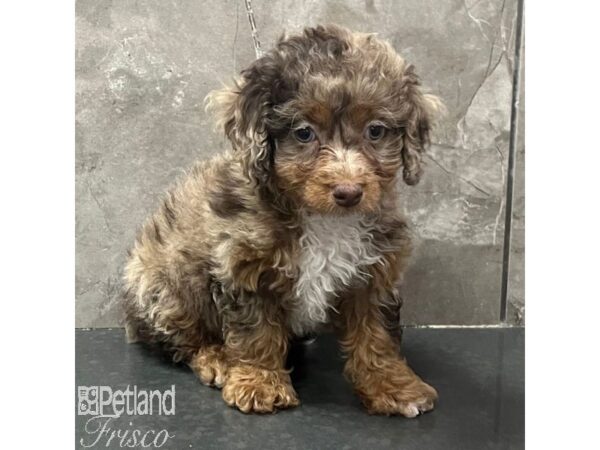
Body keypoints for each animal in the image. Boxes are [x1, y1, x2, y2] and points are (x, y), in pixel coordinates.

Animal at [122, 24, 440, 416]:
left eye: (376, 131)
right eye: (304, 133)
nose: (349, 192)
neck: (323, 218)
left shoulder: (374, 273)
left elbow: (377, 333)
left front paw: (393, 387)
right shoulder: (245, 266)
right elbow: (255, 332)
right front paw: (259, 383)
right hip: (164, 288)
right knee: (182, 339)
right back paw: (216, 358)